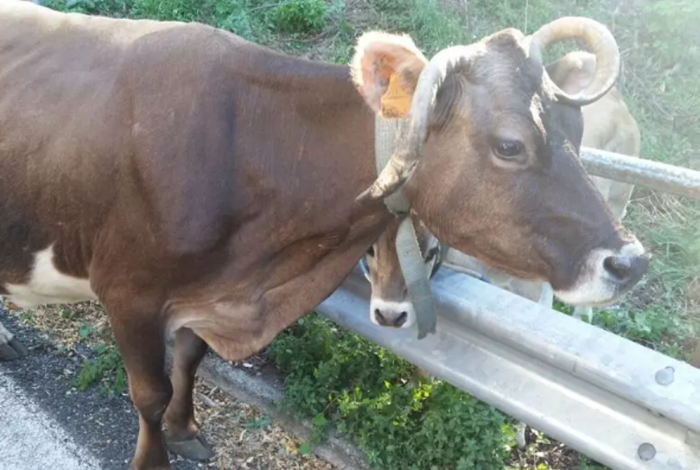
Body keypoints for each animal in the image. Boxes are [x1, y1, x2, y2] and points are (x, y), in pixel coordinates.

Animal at [0, 2, 648, 469]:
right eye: (511, 144)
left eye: (576, 129)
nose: (629, 262)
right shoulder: (129, 293)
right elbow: (149, 394)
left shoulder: (209, 291)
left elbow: (189, 357)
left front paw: (188, 431)